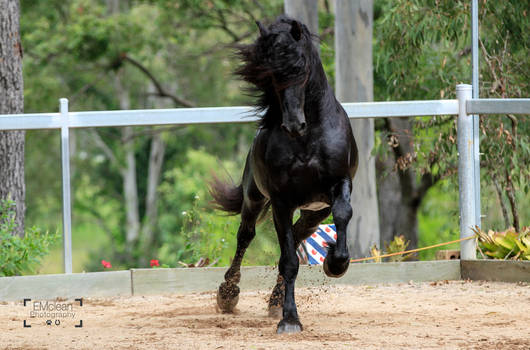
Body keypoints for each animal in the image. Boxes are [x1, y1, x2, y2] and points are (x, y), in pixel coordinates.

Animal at [208, 15, 356, 334]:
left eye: (300, 67)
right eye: (271, 73)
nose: (293, 125)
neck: (308, 139)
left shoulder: (339, 184)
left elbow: (343, 214)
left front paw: (335, 263)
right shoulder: (281, 201)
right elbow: (288, 262)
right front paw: (290, 320)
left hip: (314, 211)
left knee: (300, 235)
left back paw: (274, 300)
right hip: (254, 198)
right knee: (246, 236)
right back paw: (229, 294)